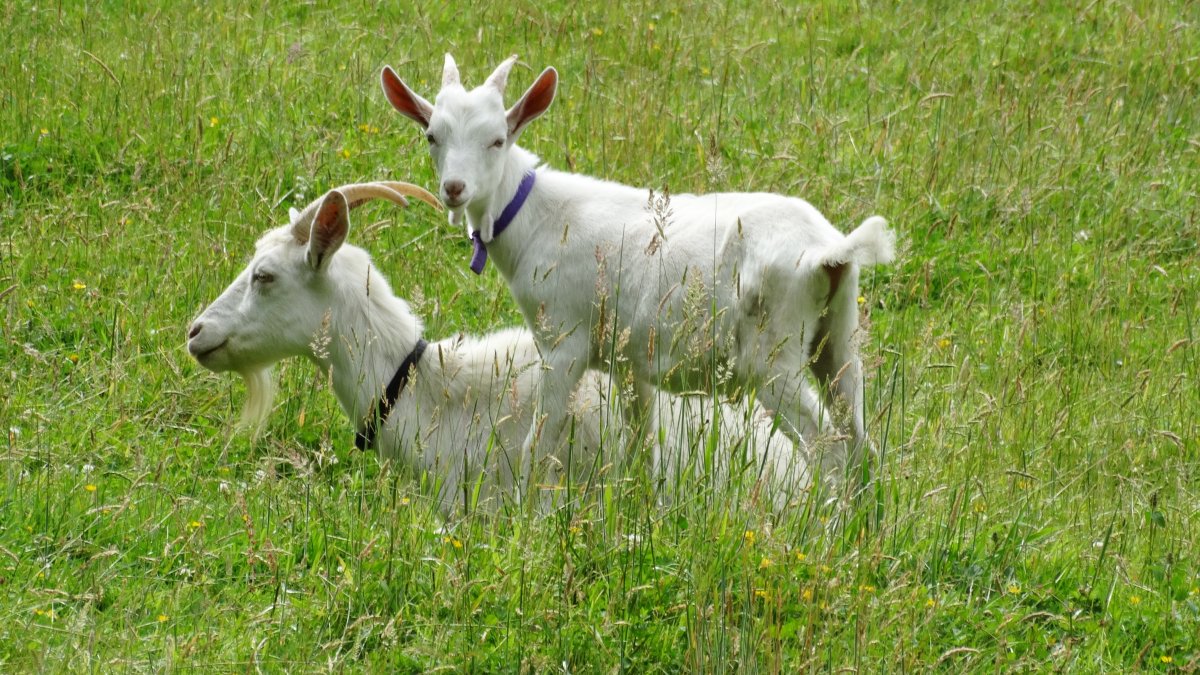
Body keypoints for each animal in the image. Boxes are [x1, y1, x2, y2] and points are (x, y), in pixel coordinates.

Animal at [379, 55, 897, 485]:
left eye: (497, 140)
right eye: (432, 136)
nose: (454, 188)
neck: (535, 217)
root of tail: (829, 250)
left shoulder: (564, 342)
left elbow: (537, 446)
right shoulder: (629, 362)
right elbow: (642, 446)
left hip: (773, 355)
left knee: (827, 448)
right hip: (838, 336)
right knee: (861, 443)